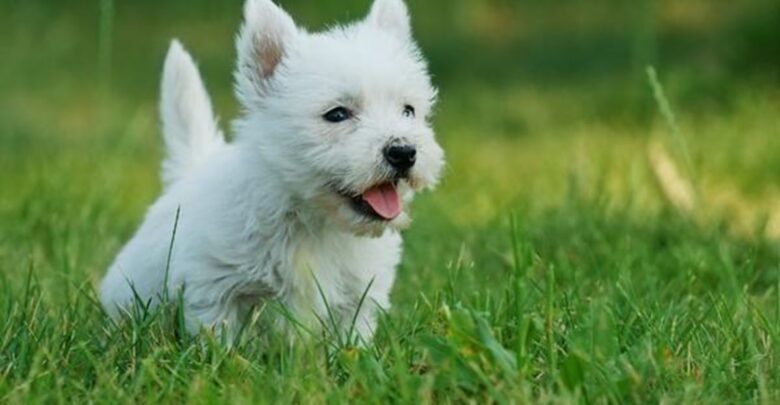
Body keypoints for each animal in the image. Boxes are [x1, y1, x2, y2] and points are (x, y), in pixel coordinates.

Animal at [99, 0, 444, 343]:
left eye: (408, 110)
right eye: (336, 114)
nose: (403, 152)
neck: (313, 222)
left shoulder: (358, 297)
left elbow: (350, 340)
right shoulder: (214, 287)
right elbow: (219, 338)